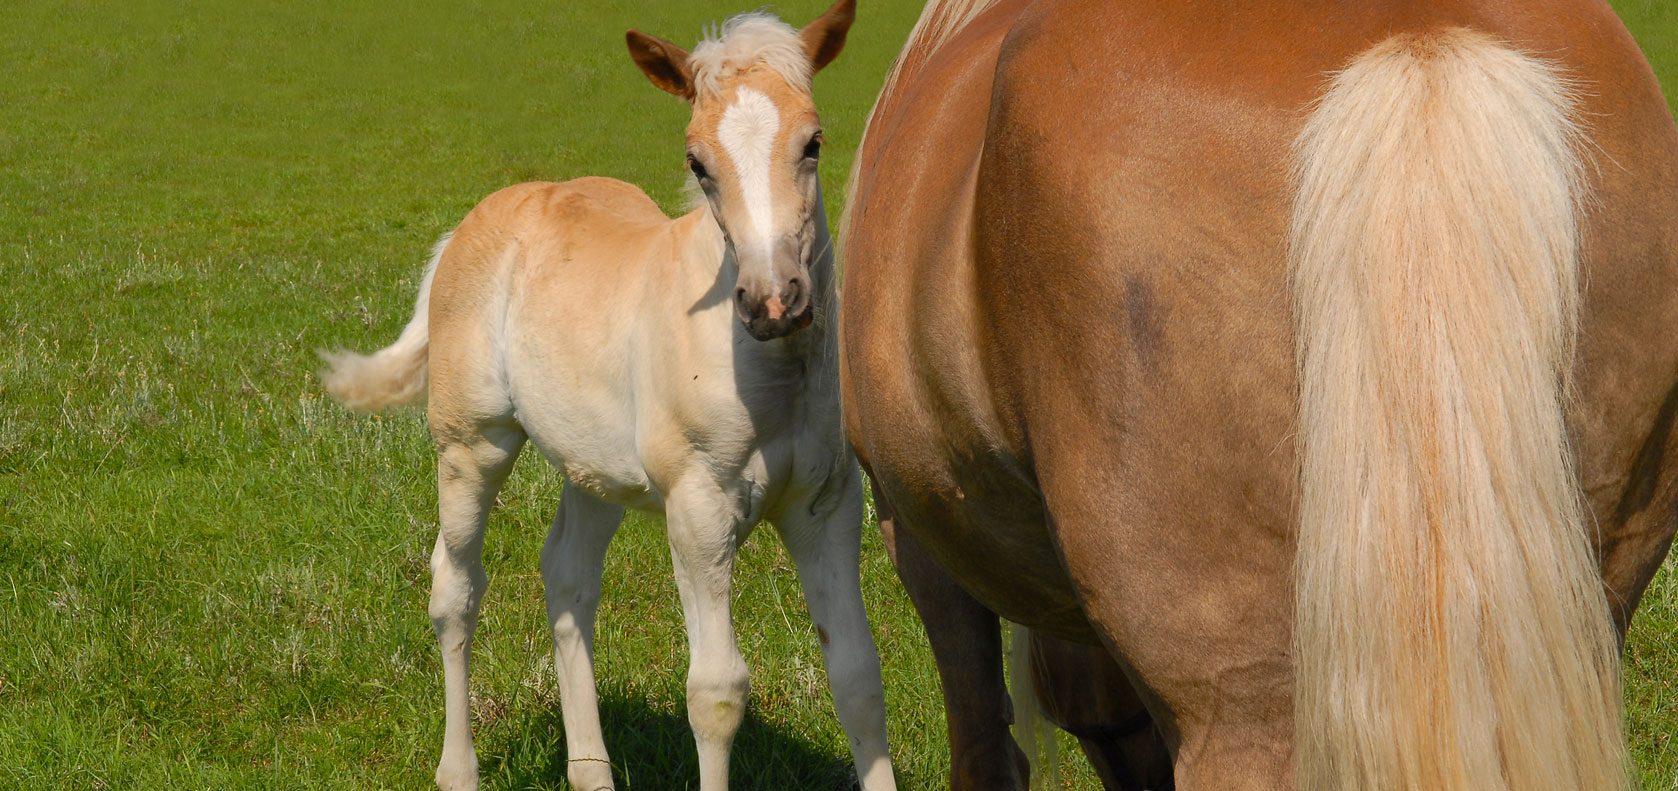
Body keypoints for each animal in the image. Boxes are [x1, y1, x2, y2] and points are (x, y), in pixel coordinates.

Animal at [320, 3, 899, 789]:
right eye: (697, 163)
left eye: (813, 143)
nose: (774, 301)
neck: (770, 370)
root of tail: (470, 227)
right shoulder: (698, 510)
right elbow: (716, 692)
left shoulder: (827, 506)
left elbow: (859, 675)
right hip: (471, 444)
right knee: (455, 588)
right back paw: (458, 768)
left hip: (591, 467)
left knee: (567, 578)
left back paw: (591, 770)